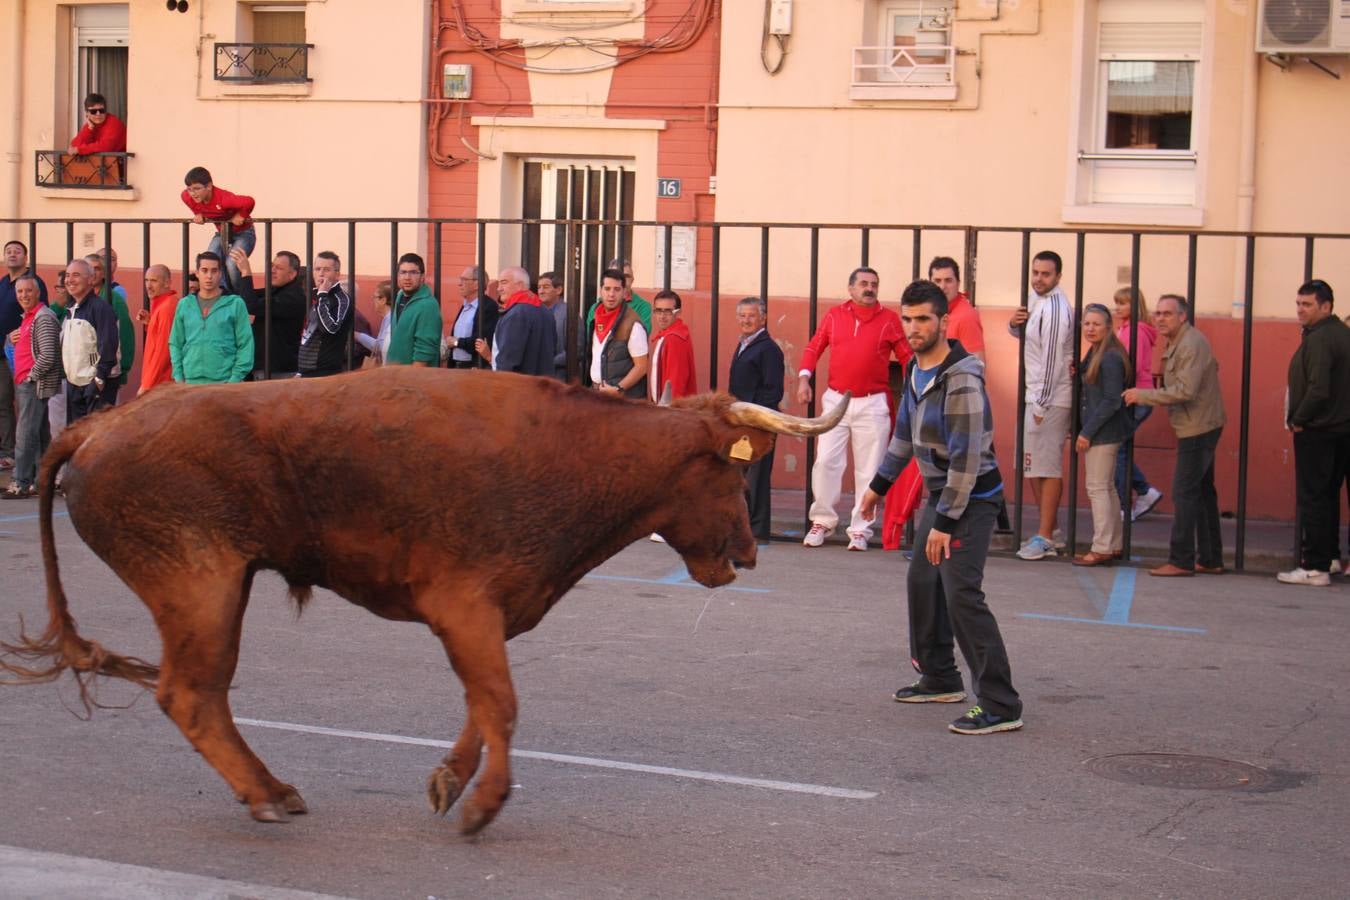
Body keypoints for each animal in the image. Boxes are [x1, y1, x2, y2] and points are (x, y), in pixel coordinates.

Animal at [0, 369, 842, 836]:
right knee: (192, 695)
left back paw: (272, 789)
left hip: (217, 590)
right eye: (733, 472)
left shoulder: (482, 618)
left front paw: (449, 781)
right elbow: (500, 703)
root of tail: (100, 423)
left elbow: (481, 703)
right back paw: (267, 794)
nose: (749, 551)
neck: (572, 451)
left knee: (199, 696)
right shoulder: (464, 606)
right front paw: (483, 804)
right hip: (200, 587)